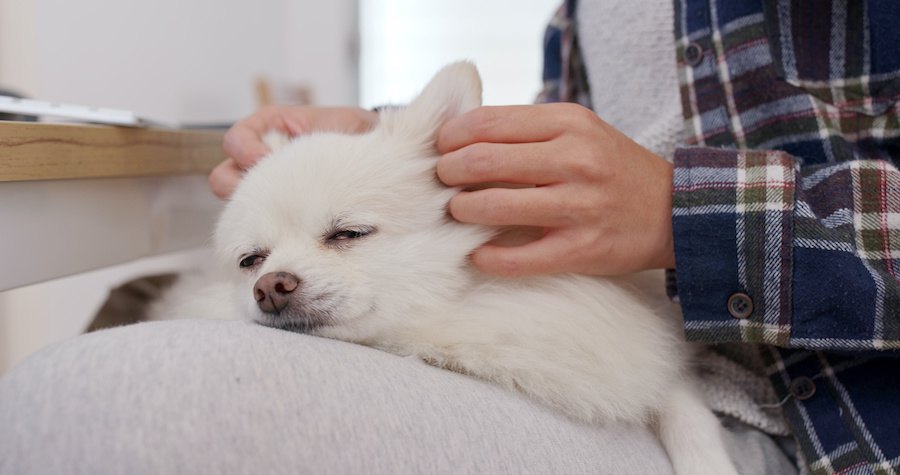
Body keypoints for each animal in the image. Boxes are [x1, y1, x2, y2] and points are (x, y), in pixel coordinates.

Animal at [199, 63, 740, 475]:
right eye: (251, 261)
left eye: (348, 234)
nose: (270, 287)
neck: (459, 319)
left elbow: (686, 410)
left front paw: (709, 463)